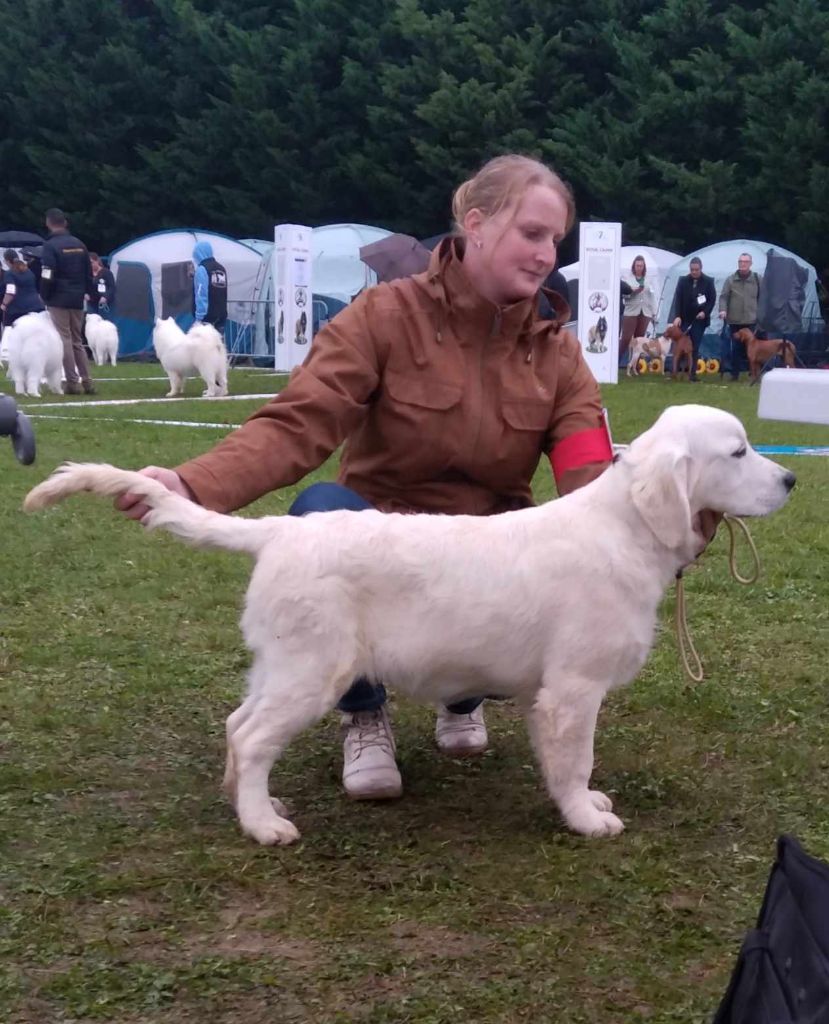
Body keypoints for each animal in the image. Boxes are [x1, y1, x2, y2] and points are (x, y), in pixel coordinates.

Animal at [22, 407, 790, 847]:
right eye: (738, 452)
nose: (789, 481)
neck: (626, 527)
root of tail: (277, 532)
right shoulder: (574, 688)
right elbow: (575, 759)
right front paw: (586, 819)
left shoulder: (553, 691)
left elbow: (567, 763)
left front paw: (583, 803)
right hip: (314, 668)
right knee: (251, 735)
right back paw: (264, 824)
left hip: (281, 662)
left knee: (237, 726)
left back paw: (243, 800)